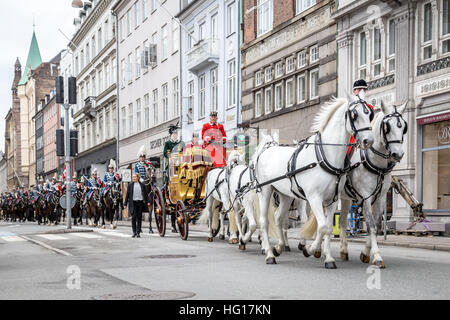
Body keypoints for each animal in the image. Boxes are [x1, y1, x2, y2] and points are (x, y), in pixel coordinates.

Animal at [251, 97, 374, 268]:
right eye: (354, 115)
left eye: (369, 114)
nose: (369, 140)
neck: (325, 156)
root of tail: (265, 151)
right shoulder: (314, 197)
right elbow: (322, 226)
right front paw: (309, 249)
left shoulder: (332, 200)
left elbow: (328, 228)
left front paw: (328, 259)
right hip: (265, 190)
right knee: (264, 221)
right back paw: (269, 254)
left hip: (286, 195)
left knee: (279, 218)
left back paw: (279, 247)